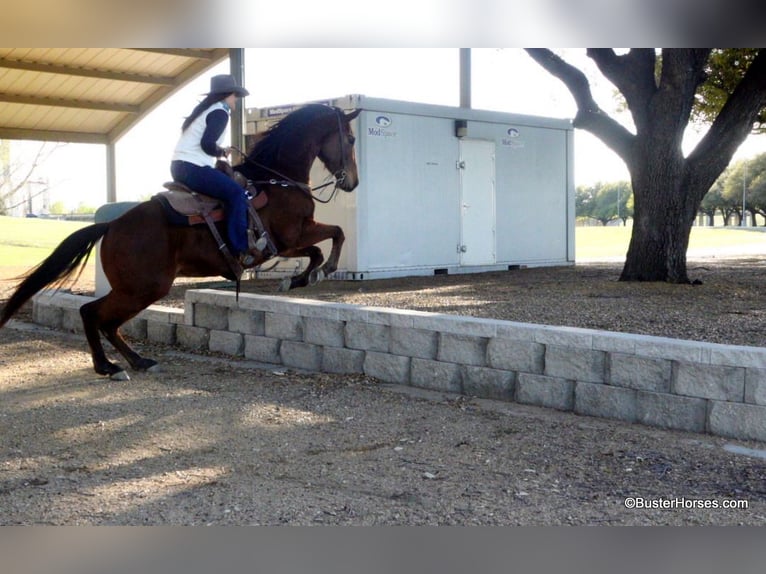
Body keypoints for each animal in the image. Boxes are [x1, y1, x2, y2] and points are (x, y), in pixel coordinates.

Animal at [0, 104, 364, 382]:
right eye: (350, 138)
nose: (353, 182)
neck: (275, 180)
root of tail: (112, 224)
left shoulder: (286, 245)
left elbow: (317, 249)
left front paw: (298, 279)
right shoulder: (292, 236)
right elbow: (336, 235)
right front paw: (318, 273)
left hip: (137, 289)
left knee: (106, 322)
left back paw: (136, 361)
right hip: (144, 287)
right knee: (93, 314)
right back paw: (109, 367)